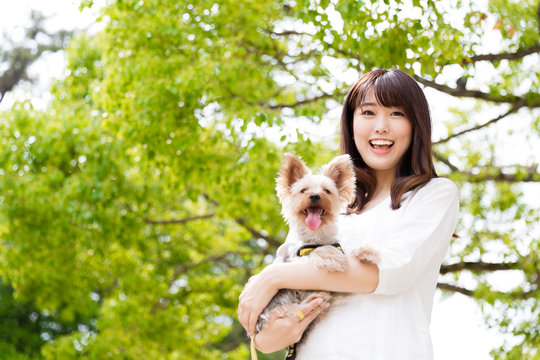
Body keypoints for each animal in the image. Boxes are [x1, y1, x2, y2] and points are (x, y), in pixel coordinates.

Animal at [254, 153, 378, 354]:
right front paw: (332, 256)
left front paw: (367, 252)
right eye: (303, 190)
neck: (316, 237)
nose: (314, 196)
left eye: (327, 191)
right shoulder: (297, 259)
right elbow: (318, 253)